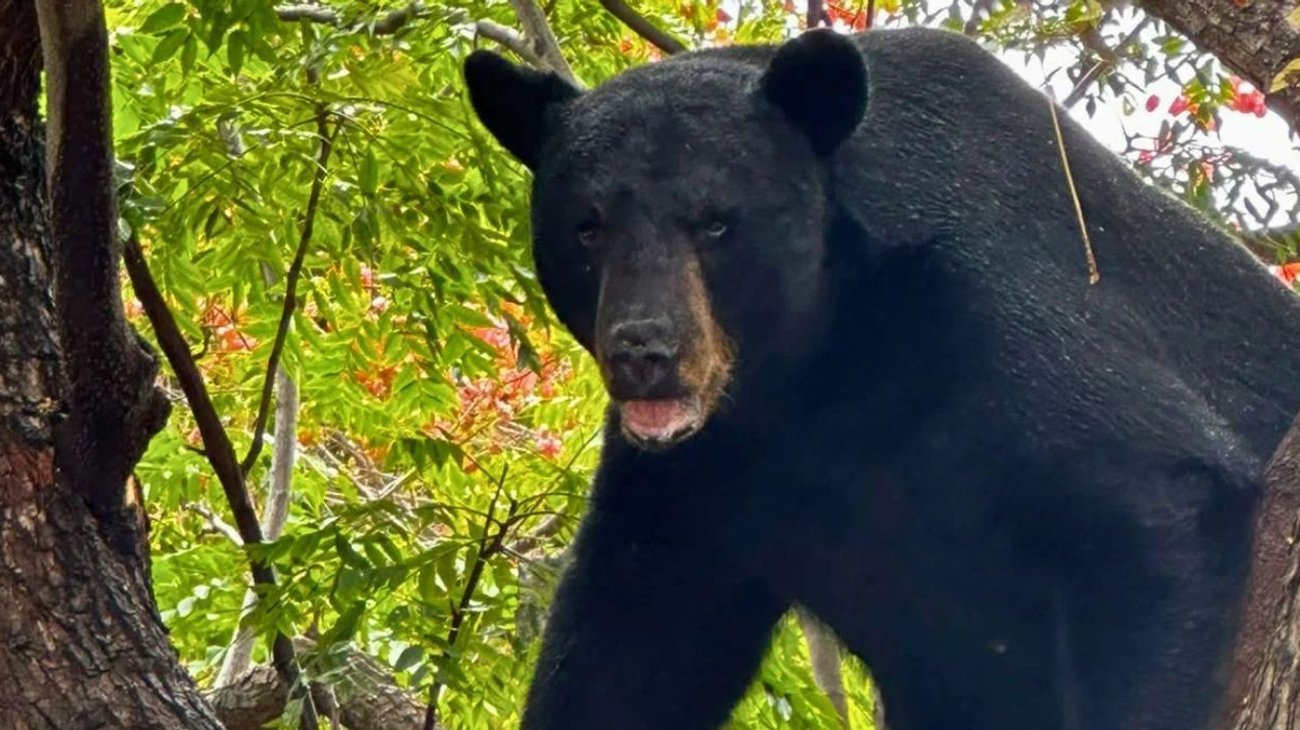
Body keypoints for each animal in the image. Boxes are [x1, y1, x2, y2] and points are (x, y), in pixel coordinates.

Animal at [463, 26, 1300, 730]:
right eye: (587, 228)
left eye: (716, 222)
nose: (644, 351)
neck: (810, 368)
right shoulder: (702, 472)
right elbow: (633, 635)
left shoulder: (995, 304)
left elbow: (1146, 501)